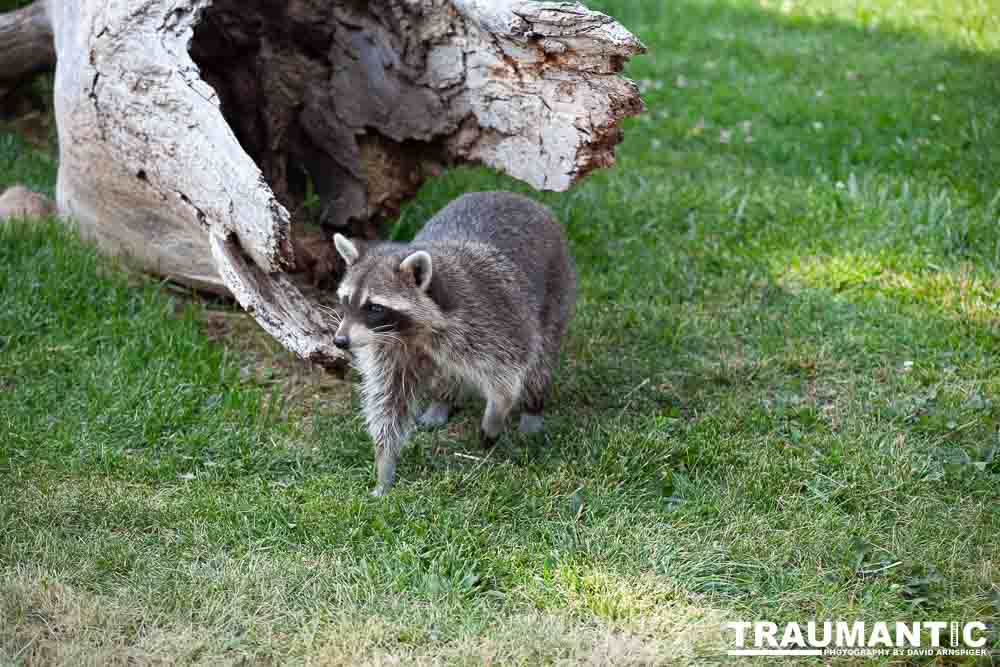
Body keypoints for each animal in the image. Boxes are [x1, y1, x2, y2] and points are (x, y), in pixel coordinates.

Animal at [330, 190, 576, 494]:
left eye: (374, 307)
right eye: (345, 300)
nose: (340, 341)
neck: (412, 332)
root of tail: (522, 198)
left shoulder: (494, 323)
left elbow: (509, 375)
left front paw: (496, 413)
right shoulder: (389, 348)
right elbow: (388, 399)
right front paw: (385, 463)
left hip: (557, 289)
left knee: (541, 359)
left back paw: (532, 409)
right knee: (447, 372)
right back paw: (442, 402)